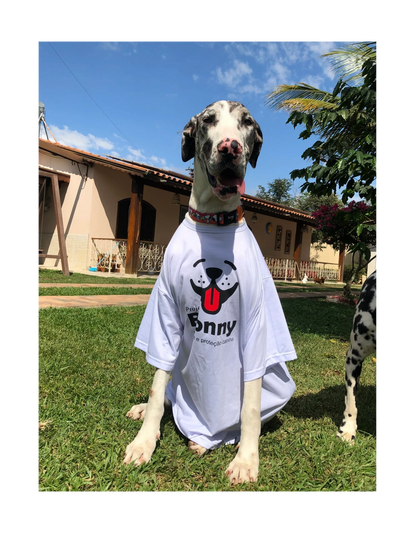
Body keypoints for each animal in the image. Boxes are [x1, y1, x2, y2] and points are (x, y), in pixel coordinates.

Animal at [125, 100, 296, 482]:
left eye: (246, 123)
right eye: (208, 121)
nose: (230, 147)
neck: (214, 222)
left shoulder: (255, 326)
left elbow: (249, 409)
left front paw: (246, 460)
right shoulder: (165, 314)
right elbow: (157, 387)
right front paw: (144, 441)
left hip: (280, 387)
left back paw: (207, 441)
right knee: (170, 393)